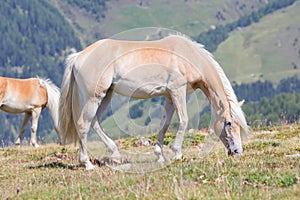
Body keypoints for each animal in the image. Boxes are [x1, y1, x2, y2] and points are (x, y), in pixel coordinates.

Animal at [58, 35, 248, 170]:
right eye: (229, 123)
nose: (237, 151)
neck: (188, 57)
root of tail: (78, 57)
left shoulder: (169, 95)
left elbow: (165, 124)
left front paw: (160, 155)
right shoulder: (177, 91)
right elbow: (184, 120)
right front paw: (177, 154)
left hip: (106, 95)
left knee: (95, 121)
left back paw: (115, 154)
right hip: (94, 97)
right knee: (83, 124)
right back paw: (87, 164)